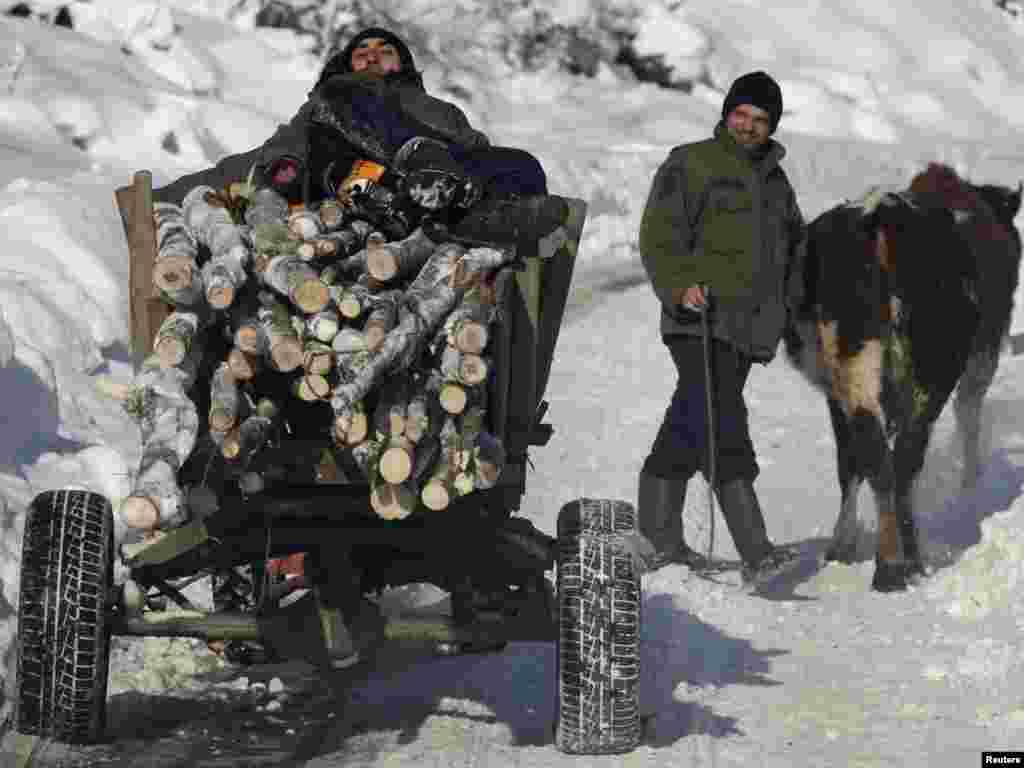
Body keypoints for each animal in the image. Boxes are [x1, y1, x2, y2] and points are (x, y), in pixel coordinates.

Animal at [782, 162, 1015, 593]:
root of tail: (882, 219)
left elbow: (850, 463)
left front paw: (842, 546)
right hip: (931, 375)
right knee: (905, 459)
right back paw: (907, 559)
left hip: (858, 370)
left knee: (878, 456)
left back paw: (889, 563)